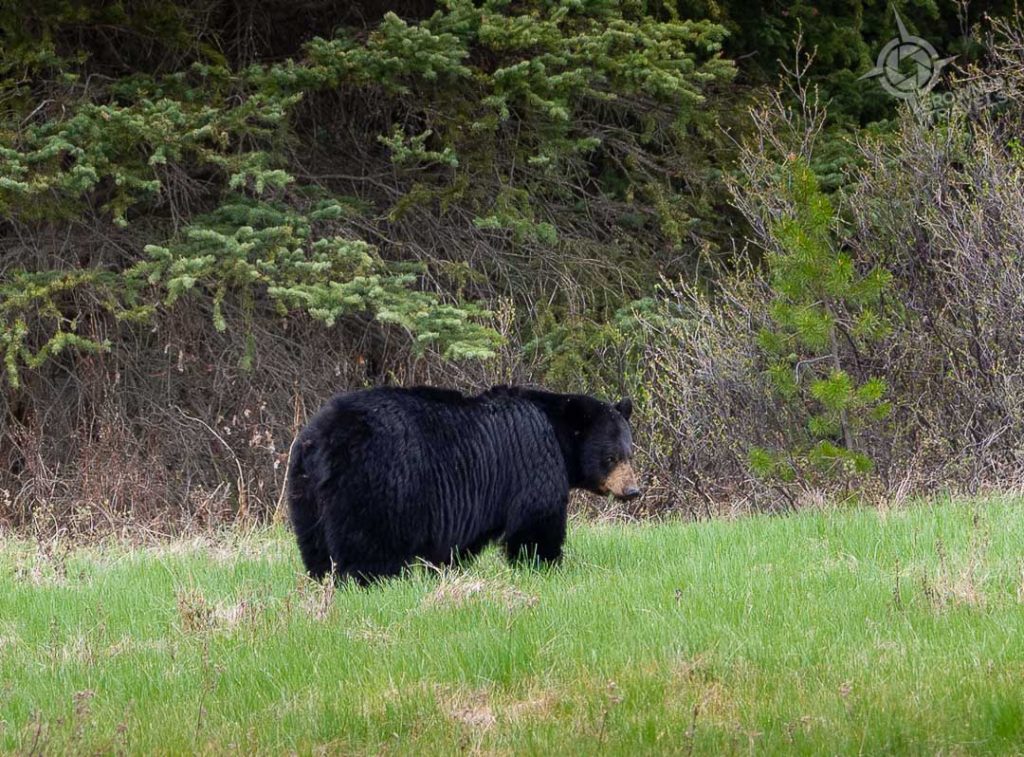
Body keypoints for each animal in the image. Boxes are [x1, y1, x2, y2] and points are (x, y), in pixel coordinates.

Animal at [287, 385, 639, 584]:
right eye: (611, 457)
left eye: (630, 452)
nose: (632, 491)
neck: (557, 431)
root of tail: (321, 442)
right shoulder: (534, 464)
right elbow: (537, 523)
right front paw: (546, 565)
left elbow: (457, 544)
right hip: (375, 484)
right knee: (369, 546)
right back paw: (373, 583)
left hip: (305, 492)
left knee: (316, 546)